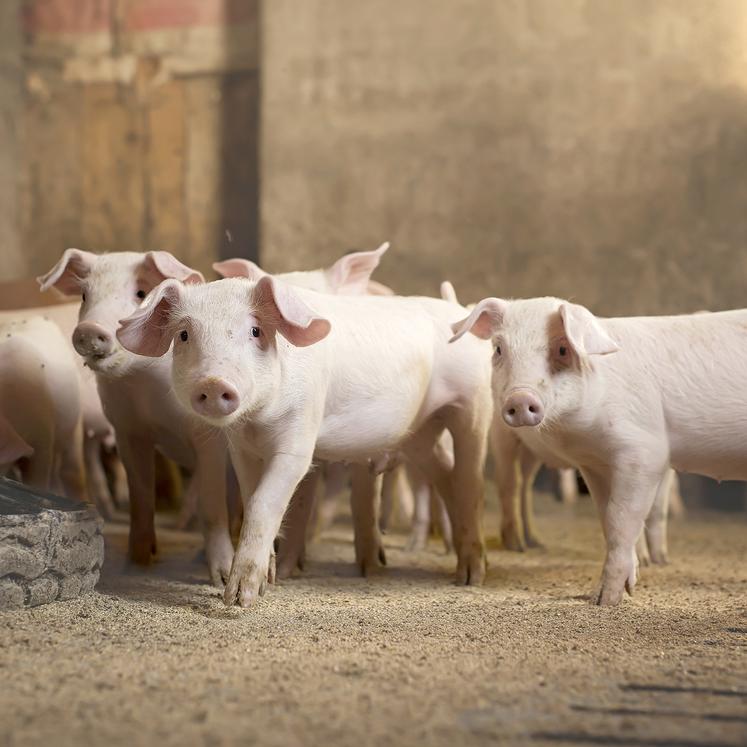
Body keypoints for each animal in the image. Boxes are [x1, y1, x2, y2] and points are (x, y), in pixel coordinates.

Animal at [117, 274, 494, 608]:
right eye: (183, 335)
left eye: (255, 331)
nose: (213, 382)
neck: (258, 421)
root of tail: (456, 309)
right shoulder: (242, 448)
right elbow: (250, 497)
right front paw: (268, 581)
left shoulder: (299, 435)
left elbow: (264, 502)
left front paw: (239, 600)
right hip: (420, 432)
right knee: (446, 475)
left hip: (473, 403)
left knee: (470, 481)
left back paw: (471, 577)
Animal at [450, 296, 747, 604]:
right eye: (499, 348)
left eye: (562, 348)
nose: (520, 399)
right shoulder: (595, 463)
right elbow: (607, 518)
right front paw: (618, 593)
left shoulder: (644, 452)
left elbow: (622, 517)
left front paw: (605, 599)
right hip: (505, 438)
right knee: (512, 484)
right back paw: (521, 545)